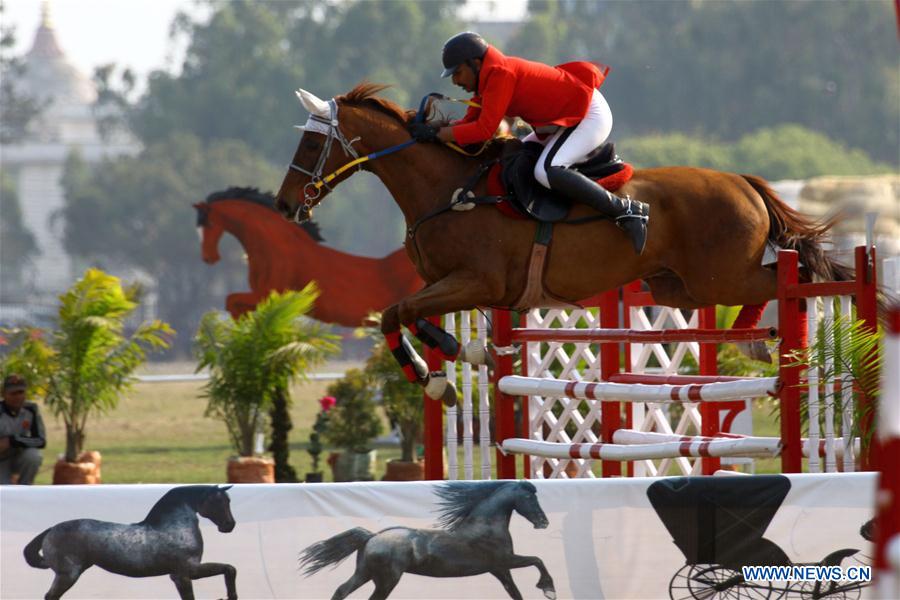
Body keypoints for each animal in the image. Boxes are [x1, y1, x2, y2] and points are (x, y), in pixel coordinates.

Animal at [274, 83, 844, 404]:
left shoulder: (475, 282)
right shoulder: (451, 285)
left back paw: (781, 341)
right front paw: (464, 355)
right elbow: (406, 314)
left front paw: (437, 376)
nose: (284, 205)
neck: (447, 189)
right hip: (678, 289)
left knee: (795, 275)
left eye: (310, 141)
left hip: (720, 277)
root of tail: (743, 181)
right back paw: (755, 338)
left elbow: (398, 312)